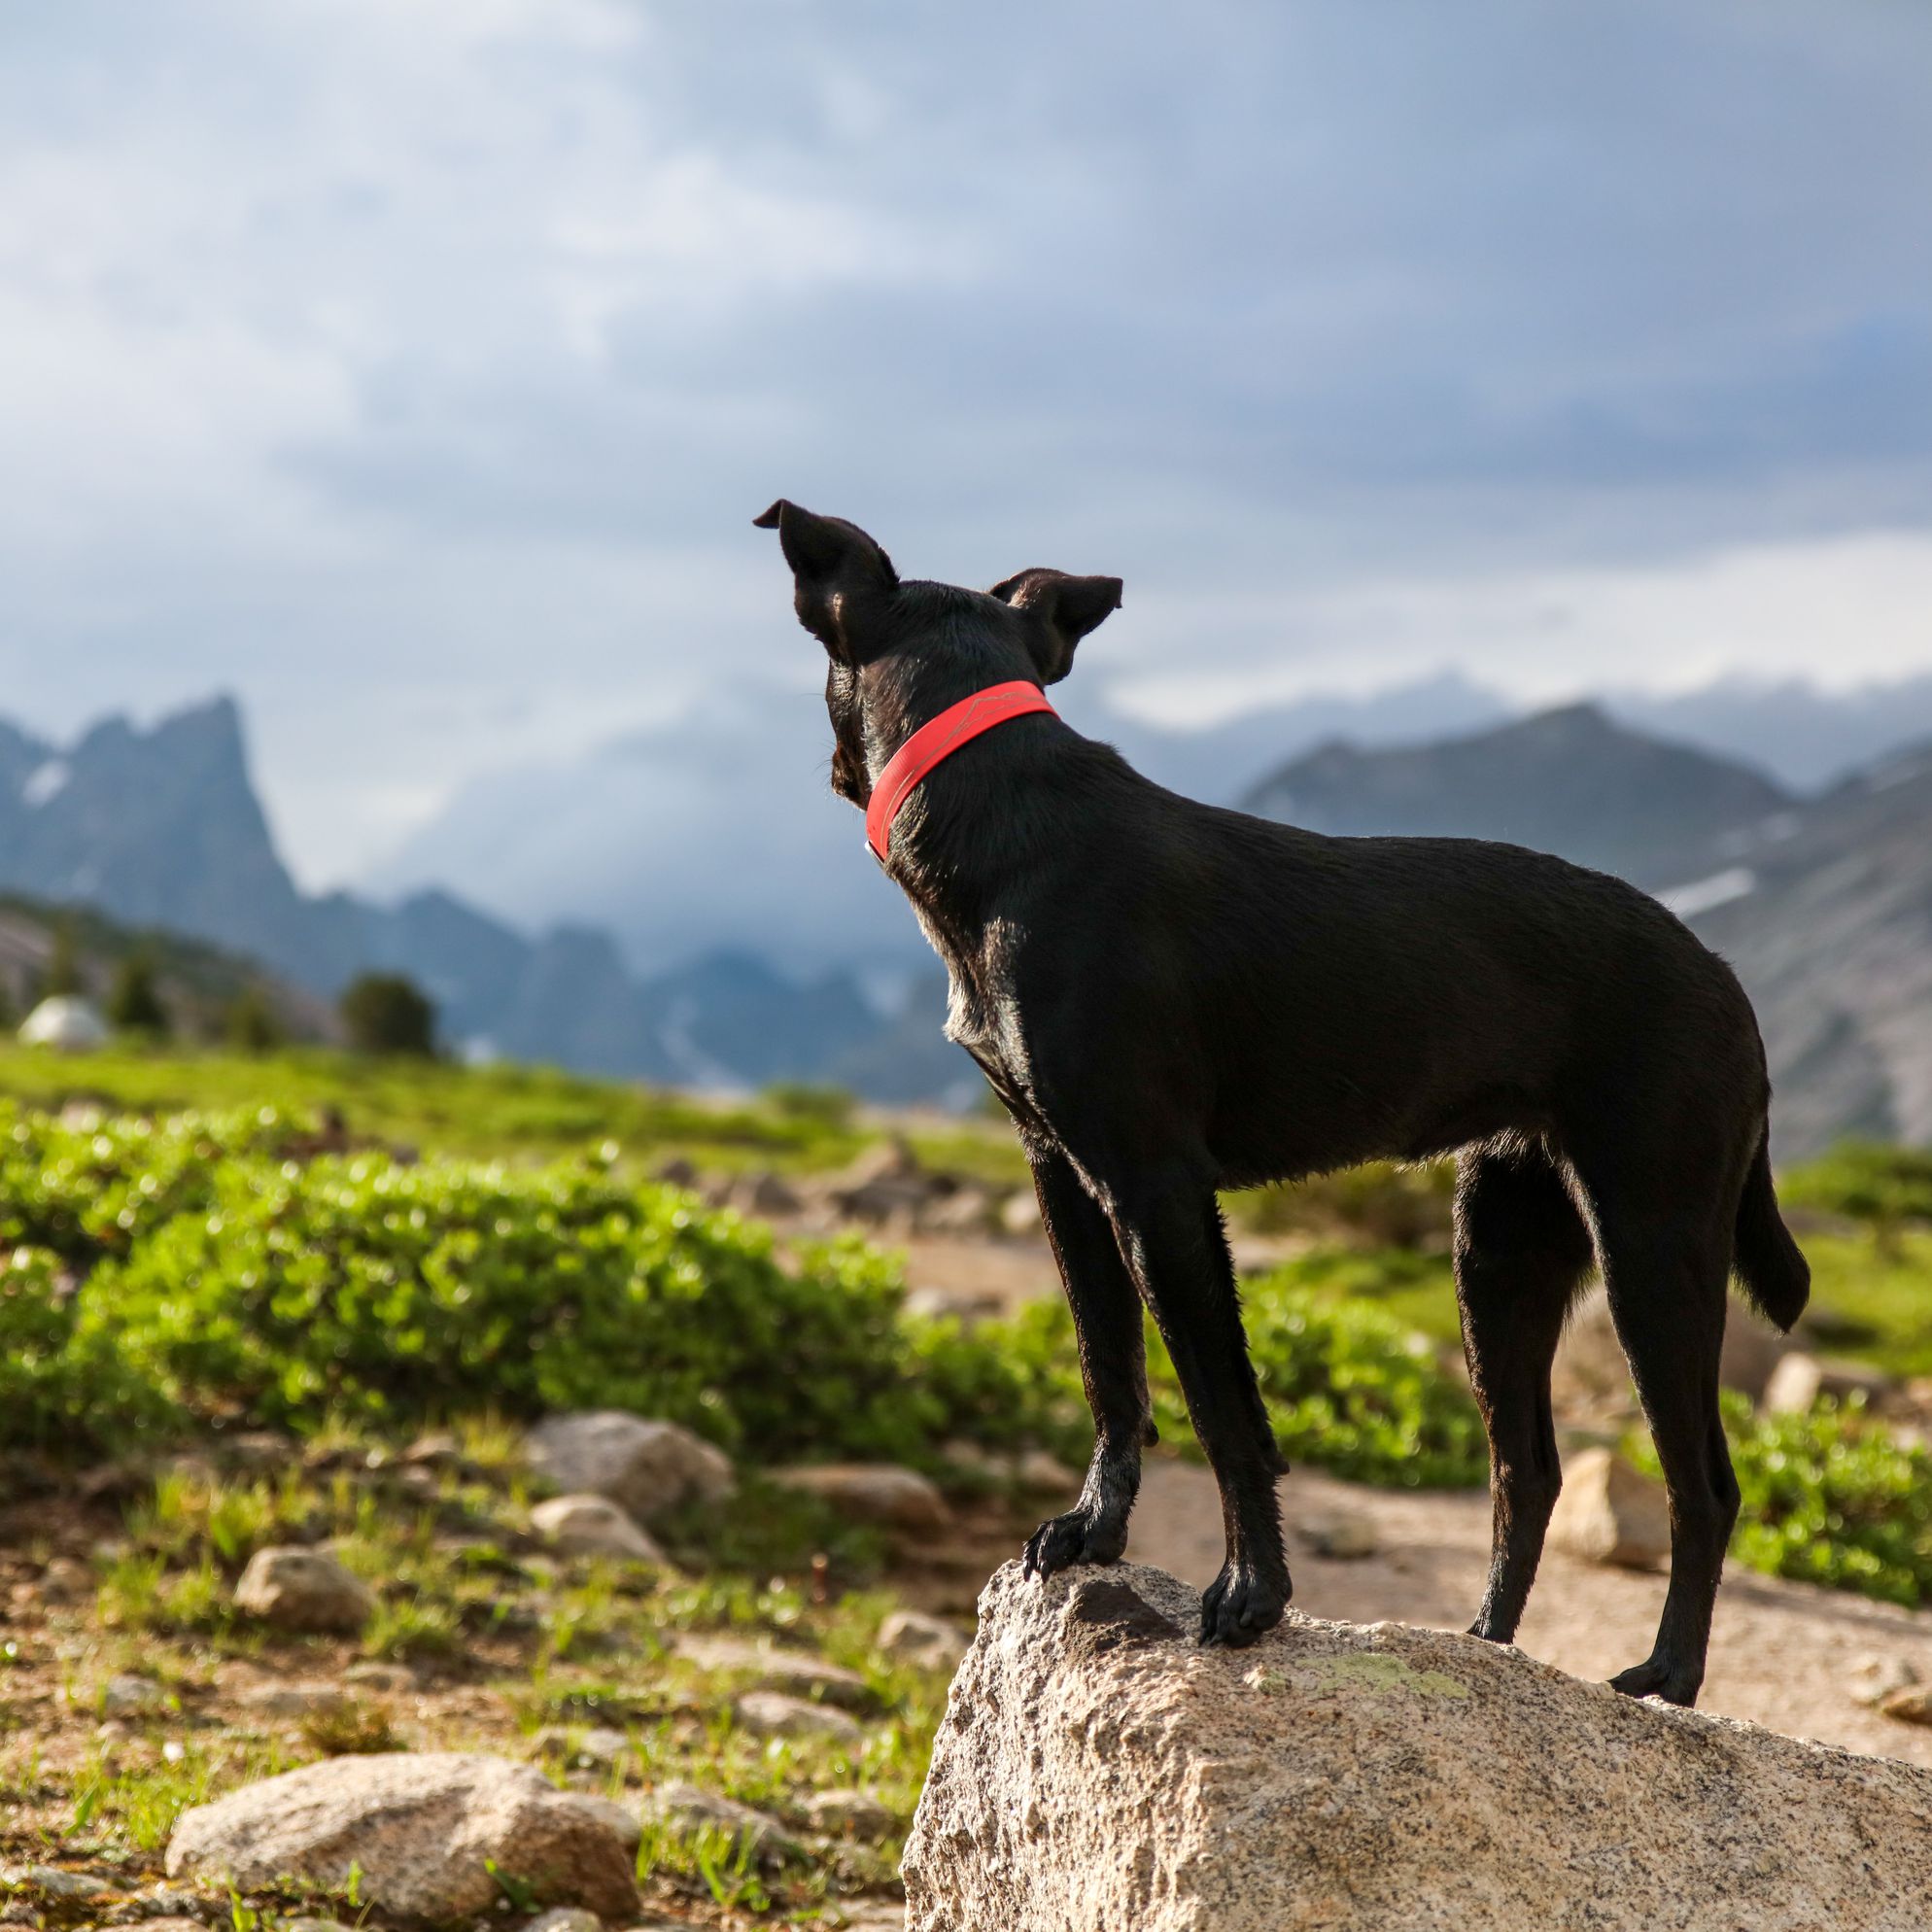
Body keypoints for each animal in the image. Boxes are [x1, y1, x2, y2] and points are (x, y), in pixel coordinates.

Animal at [757, 494, 1808, 1708]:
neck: (1002, 814)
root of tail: (1728, 983)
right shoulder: (1063, 1176)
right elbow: (1111, 1375)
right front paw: (1093, 1531)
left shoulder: (1158, 1191)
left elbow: (1224, 1411)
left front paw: (1248, 1593)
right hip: (1497, 1251)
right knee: (1527, 1472)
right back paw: (1483, 1648)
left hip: (1651, 1244)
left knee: (1703, 1483)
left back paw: (1668, 1677)